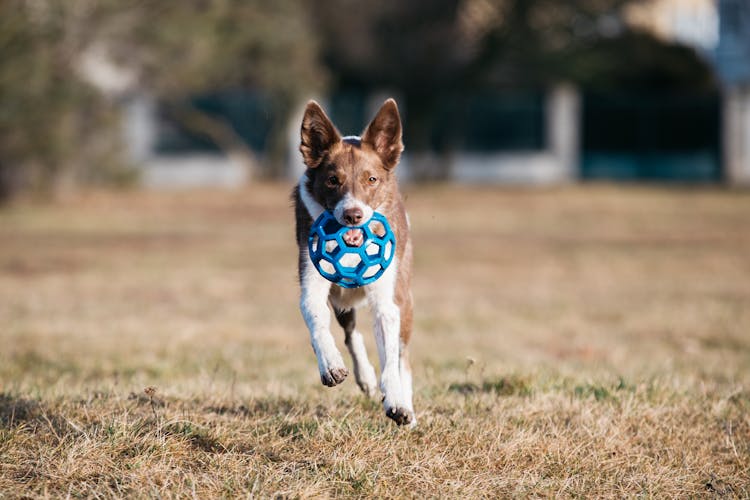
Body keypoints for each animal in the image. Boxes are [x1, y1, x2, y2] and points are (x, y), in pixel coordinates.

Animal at [294, 97, 418, 426]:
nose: (353, 215)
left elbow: (390, 357)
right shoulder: (312, 277)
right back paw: (365, 376)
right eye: (332, 180)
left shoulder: (387, 298)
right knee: (351, 333)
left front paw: (397, 402)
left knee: (402, 356)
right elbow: (316, 319)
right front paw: (330, 365)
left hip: (404, 295)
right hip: (340, 299)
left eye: (371, 179)